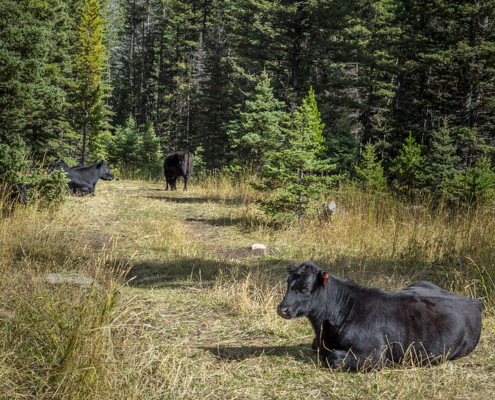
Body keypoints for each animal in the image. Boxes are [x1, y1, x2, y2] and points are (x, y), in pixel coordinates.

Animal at [280, 262, 484, 372]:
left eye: (305, 288)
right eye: (288, 284)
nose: (282, 308)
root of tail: (474, 301)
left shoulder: (374, 355)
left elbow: (333, 359)